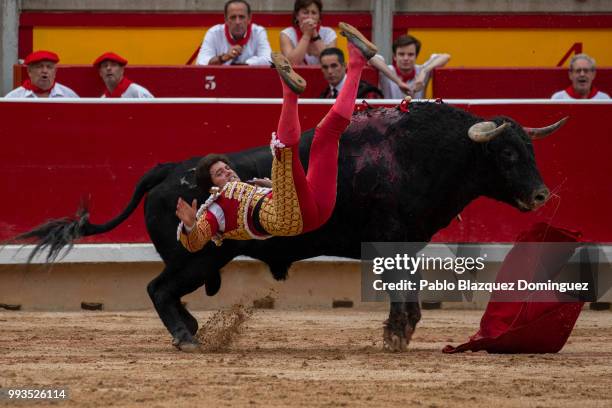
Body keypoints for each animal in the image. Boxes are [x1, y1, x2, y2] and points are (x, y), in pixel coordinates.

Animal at [13, 101, 564, 350]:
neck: (427, 152)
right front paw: (395, 335)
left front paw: (402, 332)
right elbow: (397, 289)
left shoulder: (406, 242)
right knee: (158, 288)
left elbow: (406, 288)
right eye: (508, 154)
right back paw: (188, 336)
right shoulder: (389, 238)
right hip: (197, 257)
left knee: (166, 292)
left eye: (531, 150)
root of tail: (170, 170)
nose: (541, 195)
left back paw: (191, 330)